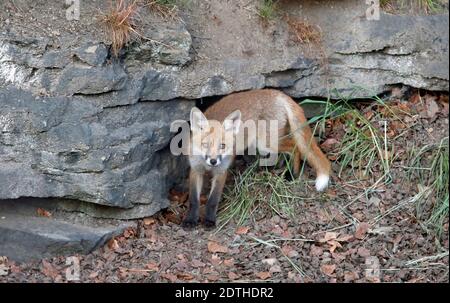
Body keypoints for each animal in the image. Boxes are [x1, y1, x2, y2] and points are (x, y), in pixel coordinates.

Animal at [183, 89, 330, 229]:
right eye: (205, 145)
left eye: (222, 146)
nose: (213, 161)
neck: (208, 166)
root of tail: (277, 93)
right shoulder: (195, 170)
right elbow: (193, 200)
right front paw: (190, 220)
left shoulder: (221, 172)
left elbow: (213, 200)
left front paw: (209, 220)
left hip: (267, 144)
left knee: (295, 147)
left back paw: (292, 174)